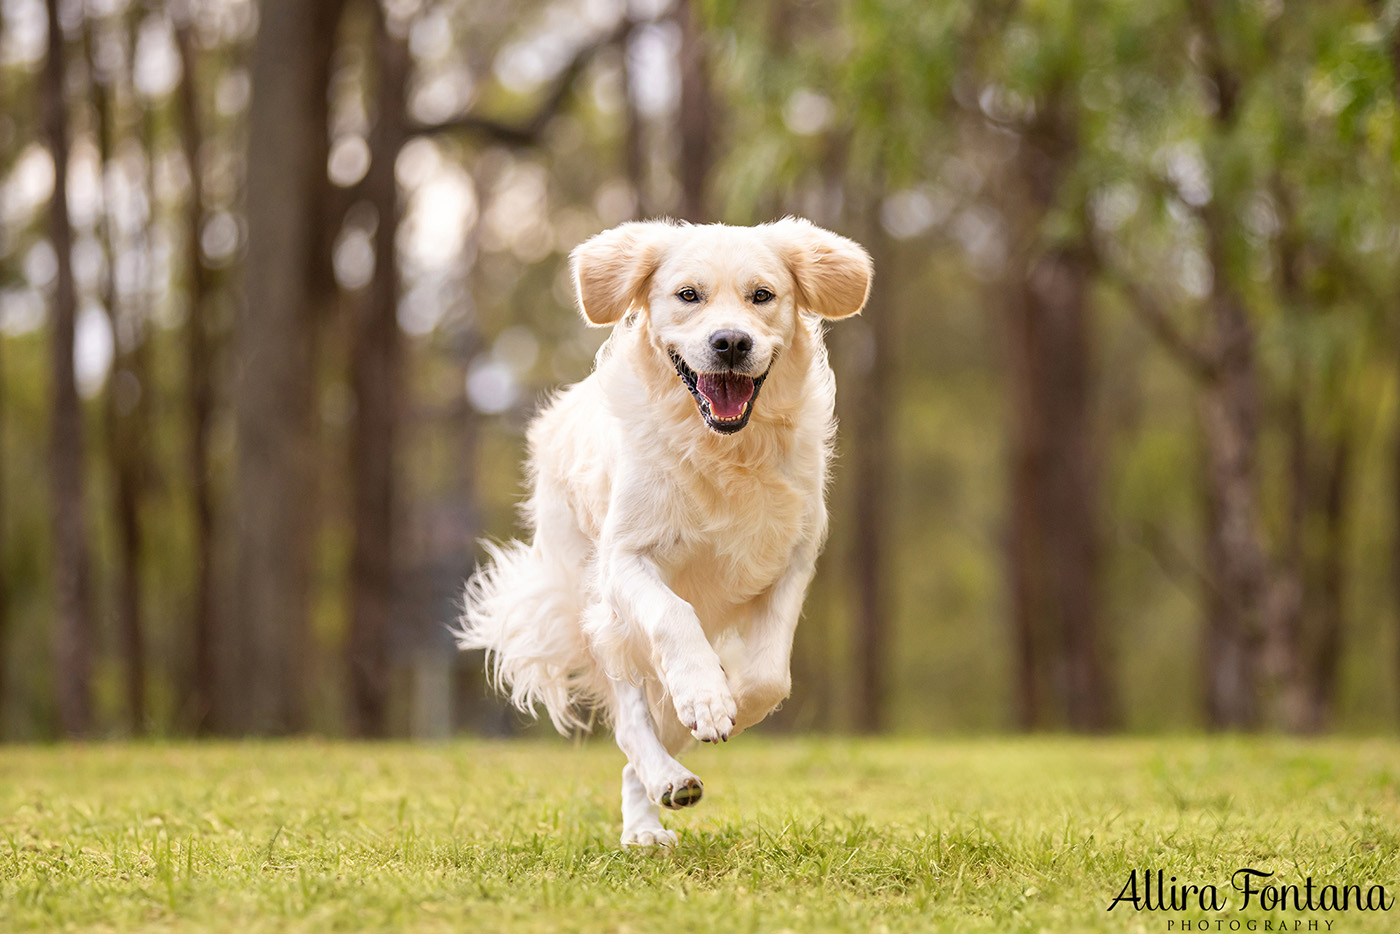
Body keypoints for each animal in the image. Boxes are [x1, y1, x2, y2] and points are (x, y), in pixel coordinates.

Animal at [459, 219, 868, 845]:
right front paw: (703, 695)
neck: (722, 451)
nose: (730, 343)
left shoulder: (792, 561)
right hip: (600, 615)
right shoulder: (626, 559)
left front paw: (721, 702)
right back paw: (658, 792)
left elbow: (768, 678)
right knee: (631, 720)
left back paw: (660, 798)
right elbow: (674, 616)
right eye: (688, 295)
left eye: (763, 295)